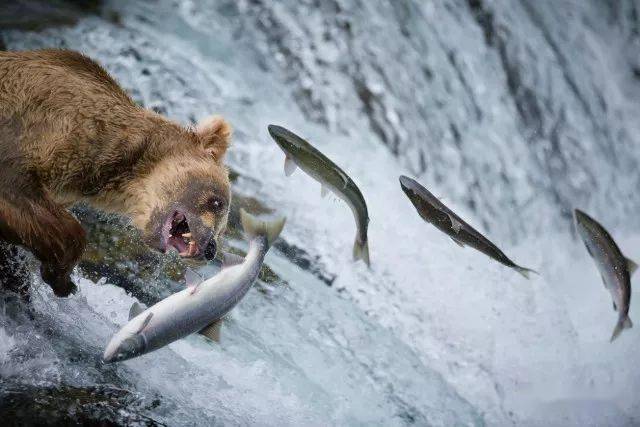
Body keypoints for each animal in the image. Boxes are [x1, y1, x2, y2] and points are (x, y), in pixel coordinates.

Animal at [0, 49, 234, 298]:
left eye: (222, 231)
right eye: (217, 202)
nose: (210, 248)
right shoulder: (42, 119)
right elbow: (17, 184)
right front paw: (63, 278)